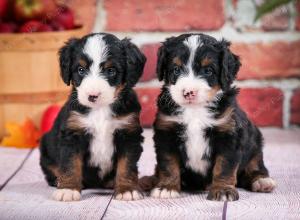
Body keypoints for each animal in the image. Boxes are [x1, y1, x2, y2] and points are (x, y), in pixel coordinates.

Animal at [40, 32, 146, 201]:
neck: (100, 110)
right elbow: (70, 164)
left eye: (111, 70)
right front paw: (68, 189)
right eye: (81, 69)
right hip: (45, 147)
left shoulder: (128, 134)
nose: (92, 96)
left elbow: (127, 165)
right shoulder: (73, 134)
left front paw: (127, 190)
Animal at [146, 34, 276, 201]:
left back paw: (262, 181)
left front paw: (223, 190)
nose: (189, 92)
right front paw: (167, 187)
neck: (195, 110)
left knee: (255, 164)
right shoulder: (166, 132)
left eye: (208, 70)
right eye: (176, 69)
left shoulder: (228, 135)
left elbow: (224, 166)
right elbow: (168, 163)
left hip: (255, 144)